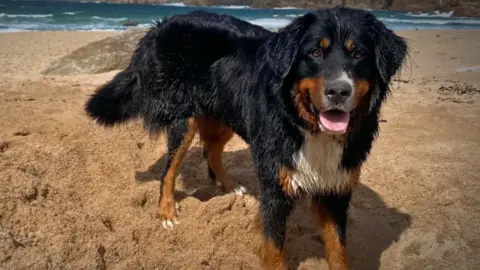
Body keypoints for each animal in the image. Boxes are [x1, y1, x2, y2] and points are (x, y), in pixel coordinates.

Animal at [84, 6, 406, 270]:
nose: (339, 91)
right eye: (315, 53)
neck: (306, 126)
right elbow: (275, 249)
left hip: (227, 112)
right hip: (183, 118)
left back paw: (229, 186)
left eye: (358, 54)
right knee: (169, 170)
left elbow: (338, 250)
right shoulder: (276, 187)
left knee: (211, 151)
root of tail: (160, 25)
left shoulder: (335, 187)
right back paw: (167, 211)